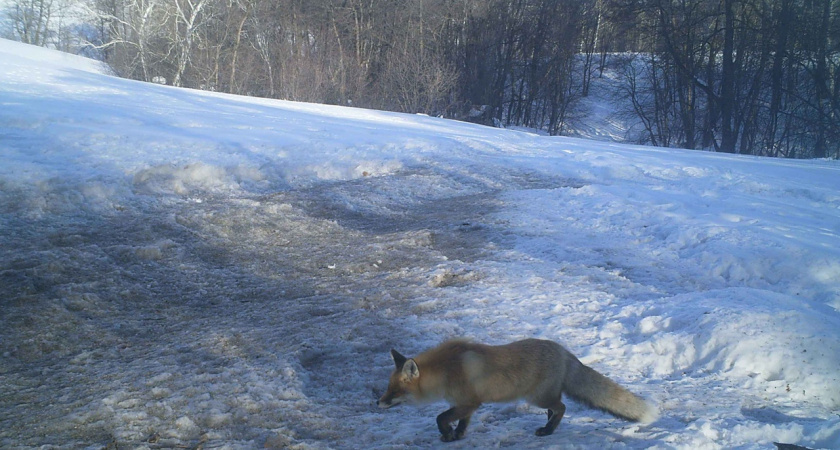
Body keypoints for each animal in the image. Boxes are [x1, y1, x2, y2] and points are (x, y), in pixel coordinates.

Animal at [378, 340, 660, 442]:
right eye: (387, 388)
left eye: (394, 391)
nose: (378, 403)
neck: (447, 370)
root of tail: (564, 351)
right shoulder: (467, 404)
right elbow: (462, 423)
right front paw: (456, 436)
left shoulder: (469, 402)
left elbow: (441, 418)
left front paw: (447, 434)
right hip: (544, 397)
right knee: (556, 408)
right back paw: (548, 426)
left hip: (536, 397)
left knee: (562, 407)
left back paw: (548, 431)